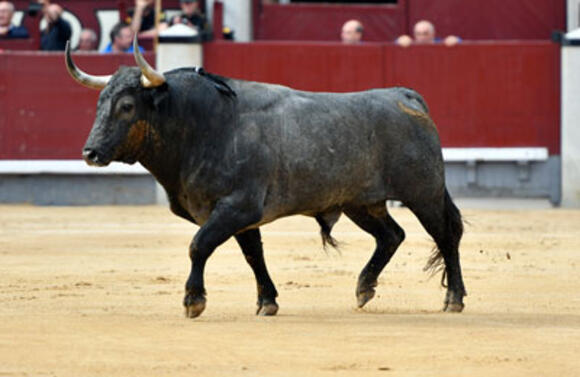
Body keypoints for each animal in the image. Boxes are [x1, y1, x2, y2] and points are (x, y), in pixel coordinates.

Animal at [64, 37, 466, 318]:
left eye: (127, 106)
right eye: (100, 103)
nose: (90, 153)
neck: (205, 125)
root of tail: (405, 95)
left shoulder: (237, 207)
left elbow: (199, 245)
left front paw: (194, 301)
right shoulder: (240, 216)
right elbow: (252, 255)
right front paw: (267, 301)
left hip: (424, 194)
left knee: (445, 235)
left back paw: (454, 299)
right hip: (361, 202)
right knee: (391, 236)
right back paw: (364, 288)